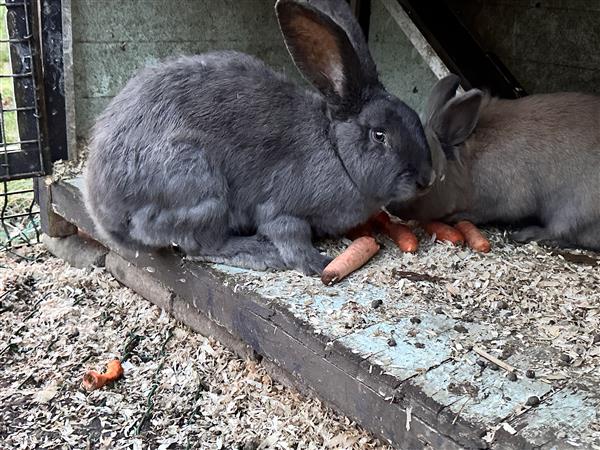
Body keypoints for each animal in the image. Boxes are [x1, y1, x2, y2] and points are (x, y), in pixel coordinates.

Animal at [83, 0, 436, 276]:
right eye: (379, 135)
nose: (426, 180)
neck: (336, 149)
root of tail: (105, 209)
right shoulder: (282, 210)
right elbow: (289, 234)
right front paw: (318, 263)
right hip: (200, 188)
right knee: (200, 245)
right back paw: (260, 253)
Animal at [390, 73, 600, 250]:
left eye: (427, 179)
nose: (392, 207)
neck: (468, 163)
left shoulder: (502, 200)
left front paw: (457, 216)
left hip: (574, 209)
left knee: (563, 231)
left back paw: (526, 234)